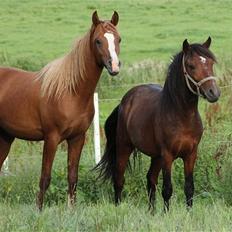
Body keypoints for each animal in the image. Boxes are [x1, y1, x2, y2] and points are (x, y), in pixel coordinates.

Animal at [0, 10, 122, 210]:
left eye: (118, 39)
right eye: (98, 41)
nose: (114, 66)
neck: (71, 92)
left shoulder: (77, 138)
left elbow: (72, 177)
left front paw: (71, 210)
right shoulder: (51, 138)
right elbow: (45, 178)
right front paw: (39, 211)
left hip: (5, 137)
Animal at [95, 37, 220, 212]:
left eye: (210, 63)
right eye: (191, 65)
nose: (213, 93)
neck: (182, 116)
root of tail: (124, 101)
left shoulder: (191, 154)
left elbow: (189, 188)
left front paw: (189, 213)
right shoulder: (167, 155)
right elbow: (167, 189)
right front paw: (167, 214)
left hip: (156, 157)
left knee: (150, 179)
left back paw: (152, 212)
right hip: (124, 147)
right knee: (119, 179)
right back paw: (118, 207)